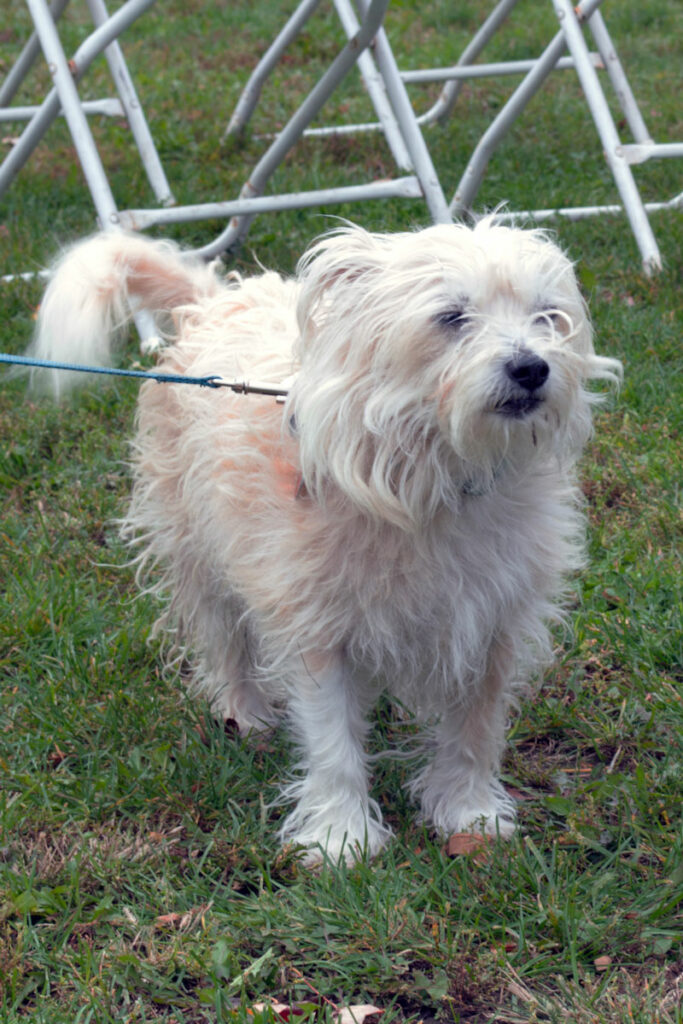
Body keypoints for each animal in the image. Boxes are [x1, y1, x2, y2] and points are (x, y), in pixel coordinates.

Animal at [30, 222, 618, 864]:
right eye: (452, 316)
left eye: (548, 317)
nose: (532, 368)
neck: (432, 478)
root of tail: (215, 299)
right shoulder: (317, 628)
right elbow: (333, 739)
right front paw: (341, 837)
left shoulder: (491, 623)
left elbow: (475, 727)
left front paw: (470, 813)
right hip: (198, 555)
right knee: (226, 643)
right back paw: (245, 714)